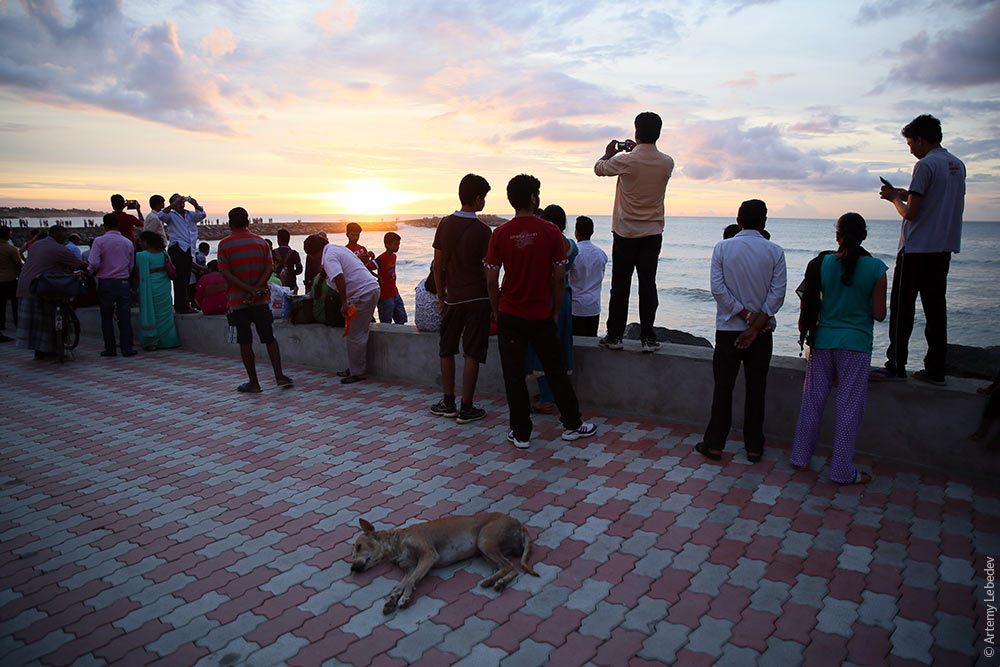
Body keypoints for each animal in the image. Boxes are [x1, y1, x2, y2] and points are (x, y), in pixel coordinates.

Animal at [352, 516, 540, 612]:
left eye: (359, 546)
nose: (352, 568)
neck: (398, 542)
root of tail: (519, 524)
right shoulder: (410, 568)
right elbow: (401, 584)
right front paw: (393, 598)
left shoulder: (428, 556)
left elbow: (411, 581)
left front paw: (404, 598)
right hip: (485, 551)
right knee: (509, 567)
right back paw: (494, 580)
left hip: (485, 541)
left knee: (511, 567)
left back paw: (498, 582)